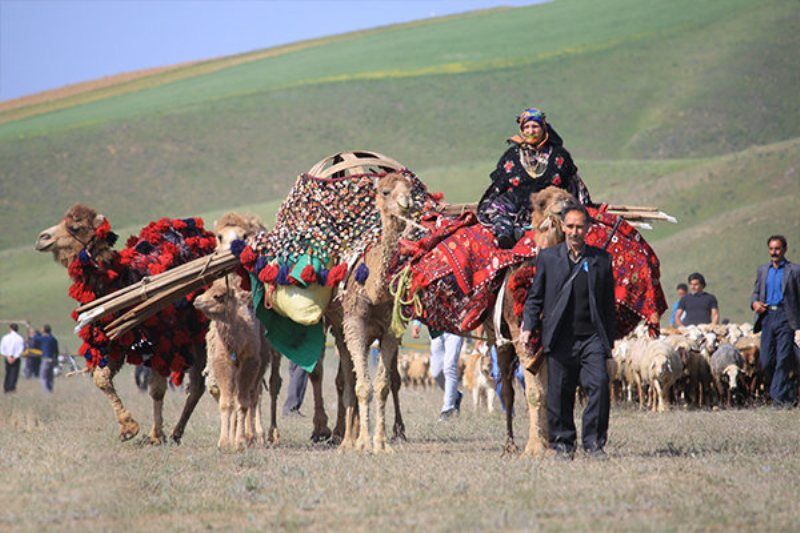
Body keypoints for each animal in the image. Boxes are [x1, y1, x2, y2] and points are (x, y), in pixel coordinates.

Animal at [36, 206, 214, 442]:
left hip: (198, 333)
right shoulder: (114, 342)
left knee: (197, 385)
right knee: (197, 385)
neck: (121, 281)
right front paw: (128, 428)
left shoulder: (162, 342)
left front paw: (156, 435)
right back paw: (177, 432)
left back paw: (177, 431)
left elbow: (157, 389)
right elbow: (101, 379)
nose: (42, 238)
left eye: (76, 226)